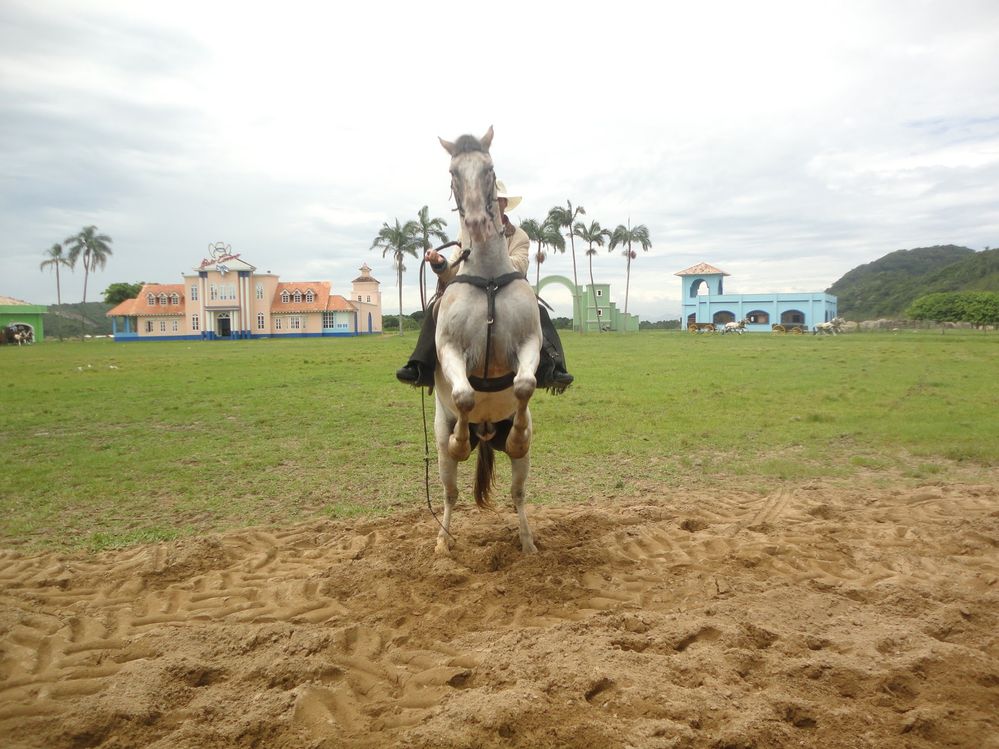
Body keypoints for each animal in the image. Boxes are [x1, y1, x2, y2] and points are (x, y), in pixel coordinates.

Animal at [430, 125, 540, 552]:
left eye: (489, 169)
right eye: (452, 173)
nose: (477, 223)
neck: (489, 279)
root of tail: (488, 430)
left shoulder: (529, 343)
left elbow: (525, 384)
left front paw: (520, 437)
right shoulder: (450, 350)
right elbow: (464, 395)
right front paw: (461, 441)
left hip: (517, 464)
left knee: (518, 493)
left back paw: (528, 543)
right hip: (439, 447)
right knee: (449, 495)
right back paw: (442, 544)